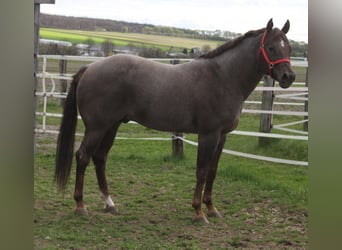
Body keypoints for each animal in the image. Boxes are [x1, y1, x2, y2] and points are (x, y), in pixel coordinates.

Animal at [54, 19, 296, 223]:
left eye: (289, 48)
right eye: (271, 47)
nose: (289, 77)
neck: (223, 77)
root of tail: (90, 67)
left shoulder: (222, 136)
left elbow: (212, 170)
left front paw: (212, 208)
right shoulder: (208, 135)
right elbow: (201, 170)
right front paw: (199, 212)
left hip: (111, 126)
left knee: (100, 158)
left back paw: (110, 203)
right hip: (97, 128)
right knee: (83, 156)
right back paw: (80, 206)